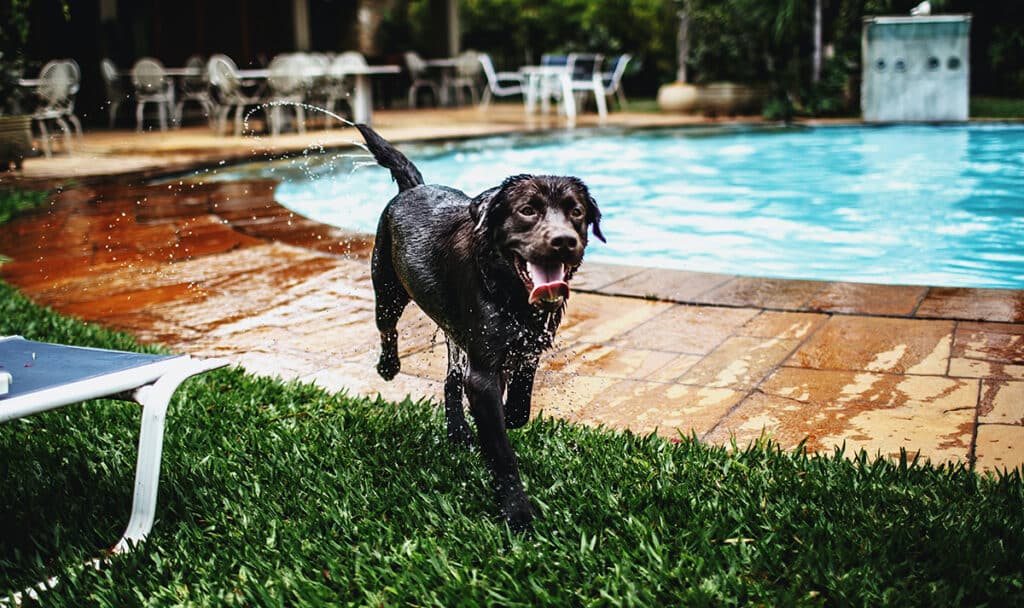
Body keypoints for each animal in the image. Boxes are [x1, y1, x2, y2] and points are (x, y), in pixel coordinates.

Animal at [358, 124, 602, 532]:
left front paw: (505, 414)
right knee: (387, 329)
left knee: (450, 381)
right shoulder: (483, 371)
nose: (564, 241)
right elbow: (501, 449)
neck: (507, 289)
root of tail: (413, 187)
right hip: (388, 288)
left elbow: (519, 407)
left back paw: (458, 432)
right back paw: (389, 367)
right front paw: (517, 514)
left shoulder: (527, 345)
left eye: (576, 212)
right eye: (527, 210)